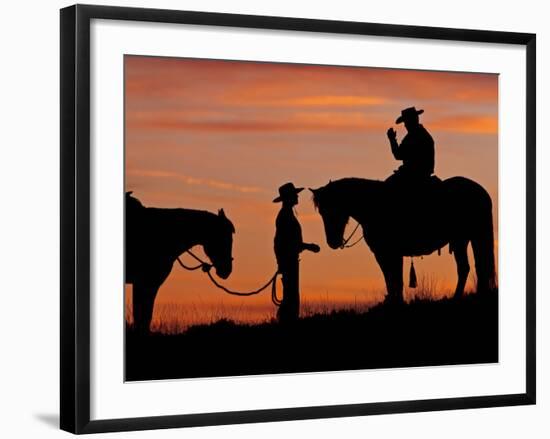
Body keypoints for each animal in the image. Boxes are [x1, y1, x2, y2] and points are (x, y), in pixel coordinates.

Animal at [126, 192, 236, 334]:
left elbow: (143, 316)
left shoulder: (147, 283)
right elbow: (142, 316)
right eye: (225, 237)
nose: (227, 270)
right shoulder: (145, 282)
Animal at [312, 177, 498, 304]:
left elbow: (395, 278)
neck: (374, 205)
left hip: (466, 238)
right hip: (466, 239)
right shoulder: (384, 253)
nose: (333, 242)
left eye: (333, 209)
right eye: (321, 212)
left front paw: (396, 302)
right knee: (475, 267)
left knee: (469, 267)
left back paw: (458, 297)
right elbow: (391, 277)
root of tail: (480, 191)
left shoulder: (389, 252)